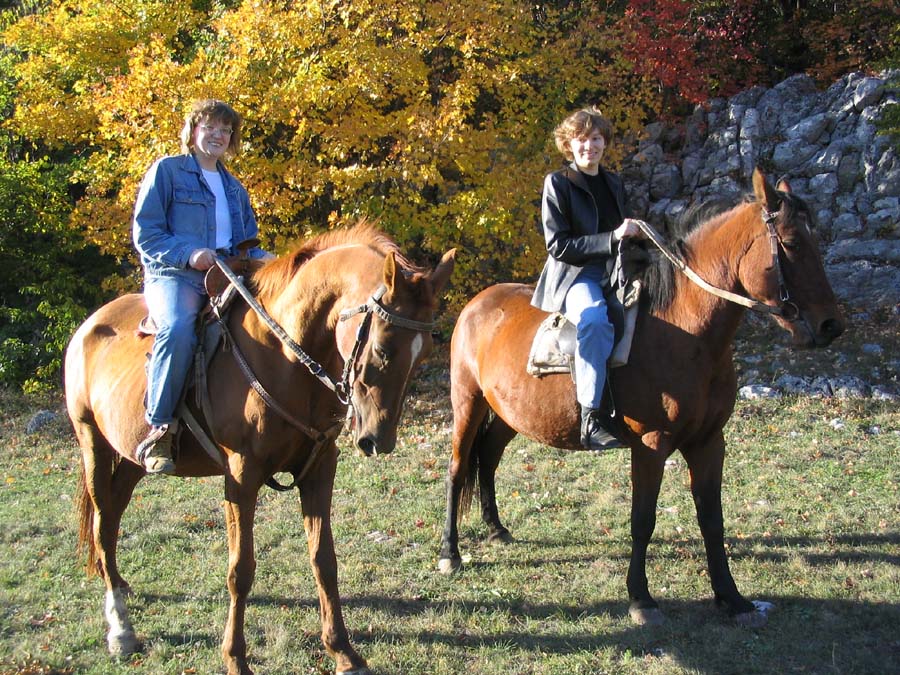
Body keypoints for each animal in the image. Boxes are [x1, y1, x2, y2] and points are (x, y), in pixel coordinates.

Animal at [67, 223, 458, 675]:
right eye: (382, 348)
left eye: (423, 354)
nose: (378, 439)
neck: (285, 356)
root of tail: (91, 324)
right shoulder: (242, 475)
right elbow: (241, 568)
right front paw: (235, 657)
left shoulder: (319, 468)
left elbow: (324, 559)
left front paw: (342, 650)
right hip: (92, 443)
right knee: (101, 523)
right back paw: (120, 628)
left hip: (131, 458)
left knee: (111, 519)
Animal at [436, 169, 844, 628]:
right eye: (791, 242)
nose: (831, 325)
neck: (684, 331)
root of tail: (478, 303)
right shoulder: (651, 443)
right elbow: (642, 520)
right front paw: (641, 599)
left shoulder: (709, 442)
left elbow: (712, 519)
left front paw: (731, 597)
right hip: (468, 402)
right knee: (457, 469)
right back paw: (450, 552)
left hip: (508, 413)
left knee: (487, 458)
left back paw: (496, 528)